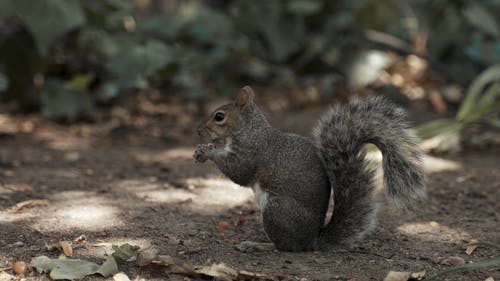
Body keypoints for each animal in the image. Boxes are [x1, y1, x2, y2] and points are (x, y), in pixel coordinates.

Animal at [193, 86, 424, 252]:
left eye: (219, 116)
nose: (199, 130)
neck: (249, 130)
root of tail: (311, 241)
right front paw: (205, 148)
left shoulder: (252, 153)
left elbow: (239, 171)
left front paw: (208, 152)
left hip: (277, 210)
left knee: (285, 247)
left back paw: (257, 245)